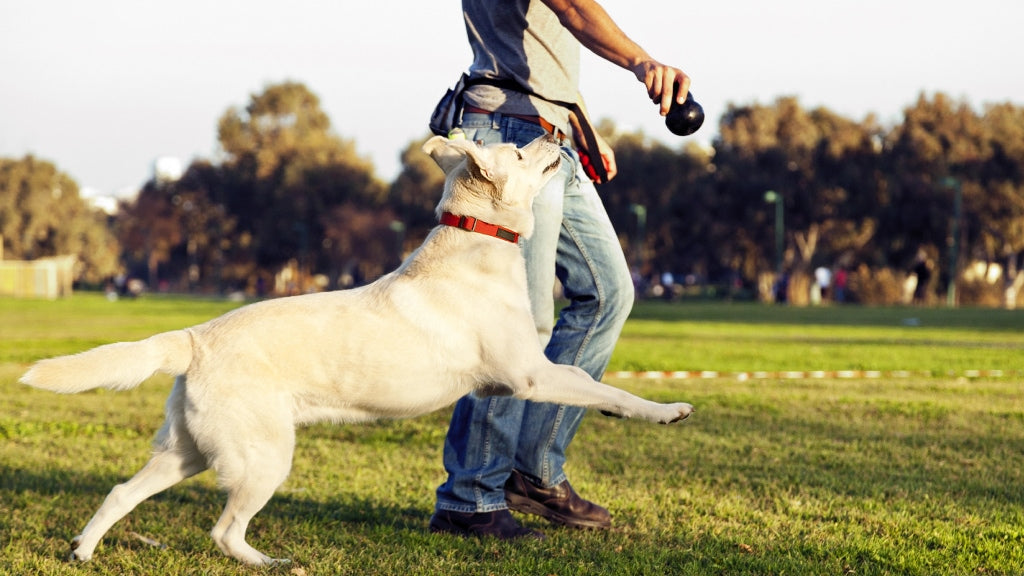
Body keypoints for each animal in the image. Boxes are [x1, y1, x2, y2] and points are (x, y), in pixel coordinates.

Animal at [22, 132, 696, 561]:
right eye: (518, 148)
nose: (558, 135)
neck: (476, 240)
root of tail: (194, 337)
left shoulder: (529, 374)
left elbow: (590, 388)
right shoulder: (530, 374)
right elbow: (603, 387)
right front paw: (665, 410)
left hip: (187, 451)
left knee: (121, 492)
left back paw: (83, 550)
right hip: (263, 457)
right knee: (224, 531)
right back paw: (270, 563)